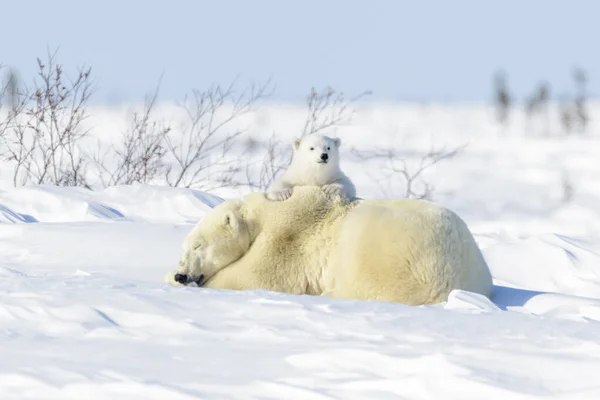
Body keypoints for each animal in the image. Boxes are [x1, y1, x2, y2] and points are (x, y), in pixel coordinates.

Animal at [164, 186, 492, 304]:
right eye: (185, 247)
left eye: (197, 246)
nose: (182, 273)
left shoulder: (289, 235)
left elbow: (256, 275)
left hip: (389, 249)